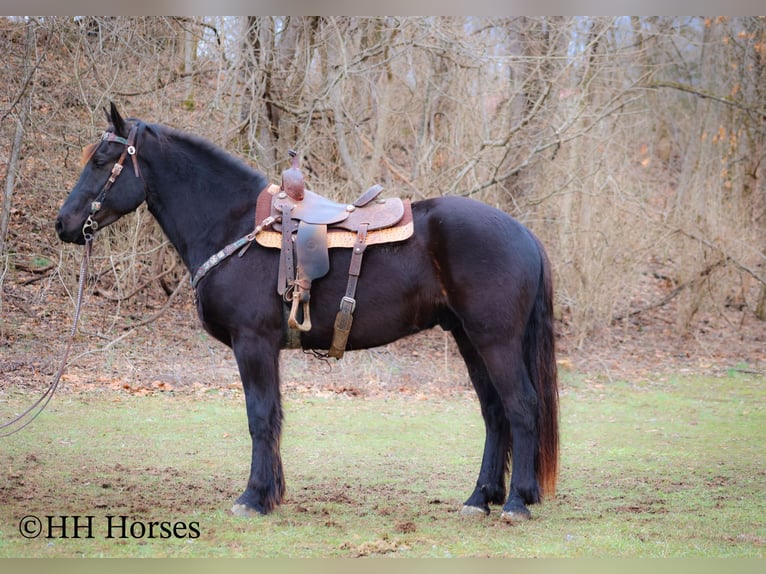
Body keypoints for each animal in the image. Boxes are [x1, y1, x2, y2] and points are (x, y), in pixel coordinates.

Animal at [56, 103, 559, 522]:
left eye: (101, 160)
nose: (64, 223)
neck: (234, 224)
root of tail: (523, 233)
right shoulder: (265, 348)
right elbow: (273, 415)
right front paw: (270, 494)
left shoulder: (253, 343)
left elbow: (260, 416)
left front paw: (252, 498)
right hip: (469, 339)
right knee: (494, 412)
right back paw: (480, 498)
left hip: (494, 339)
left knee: (521, 406)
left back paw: (516, 502)